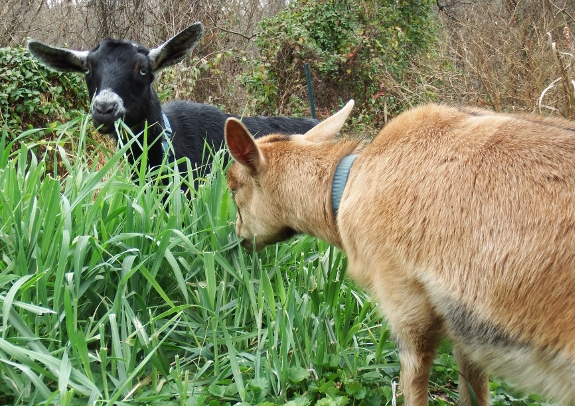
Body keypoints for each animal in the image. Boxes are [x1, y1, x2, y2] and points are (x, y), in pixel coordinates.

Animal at [223, 100, 575, 406]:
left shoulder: (406, 305)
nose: (238, 238)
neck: (346, 186)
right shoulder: (466, 334)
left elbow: (414, 386)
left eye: (233, 187)